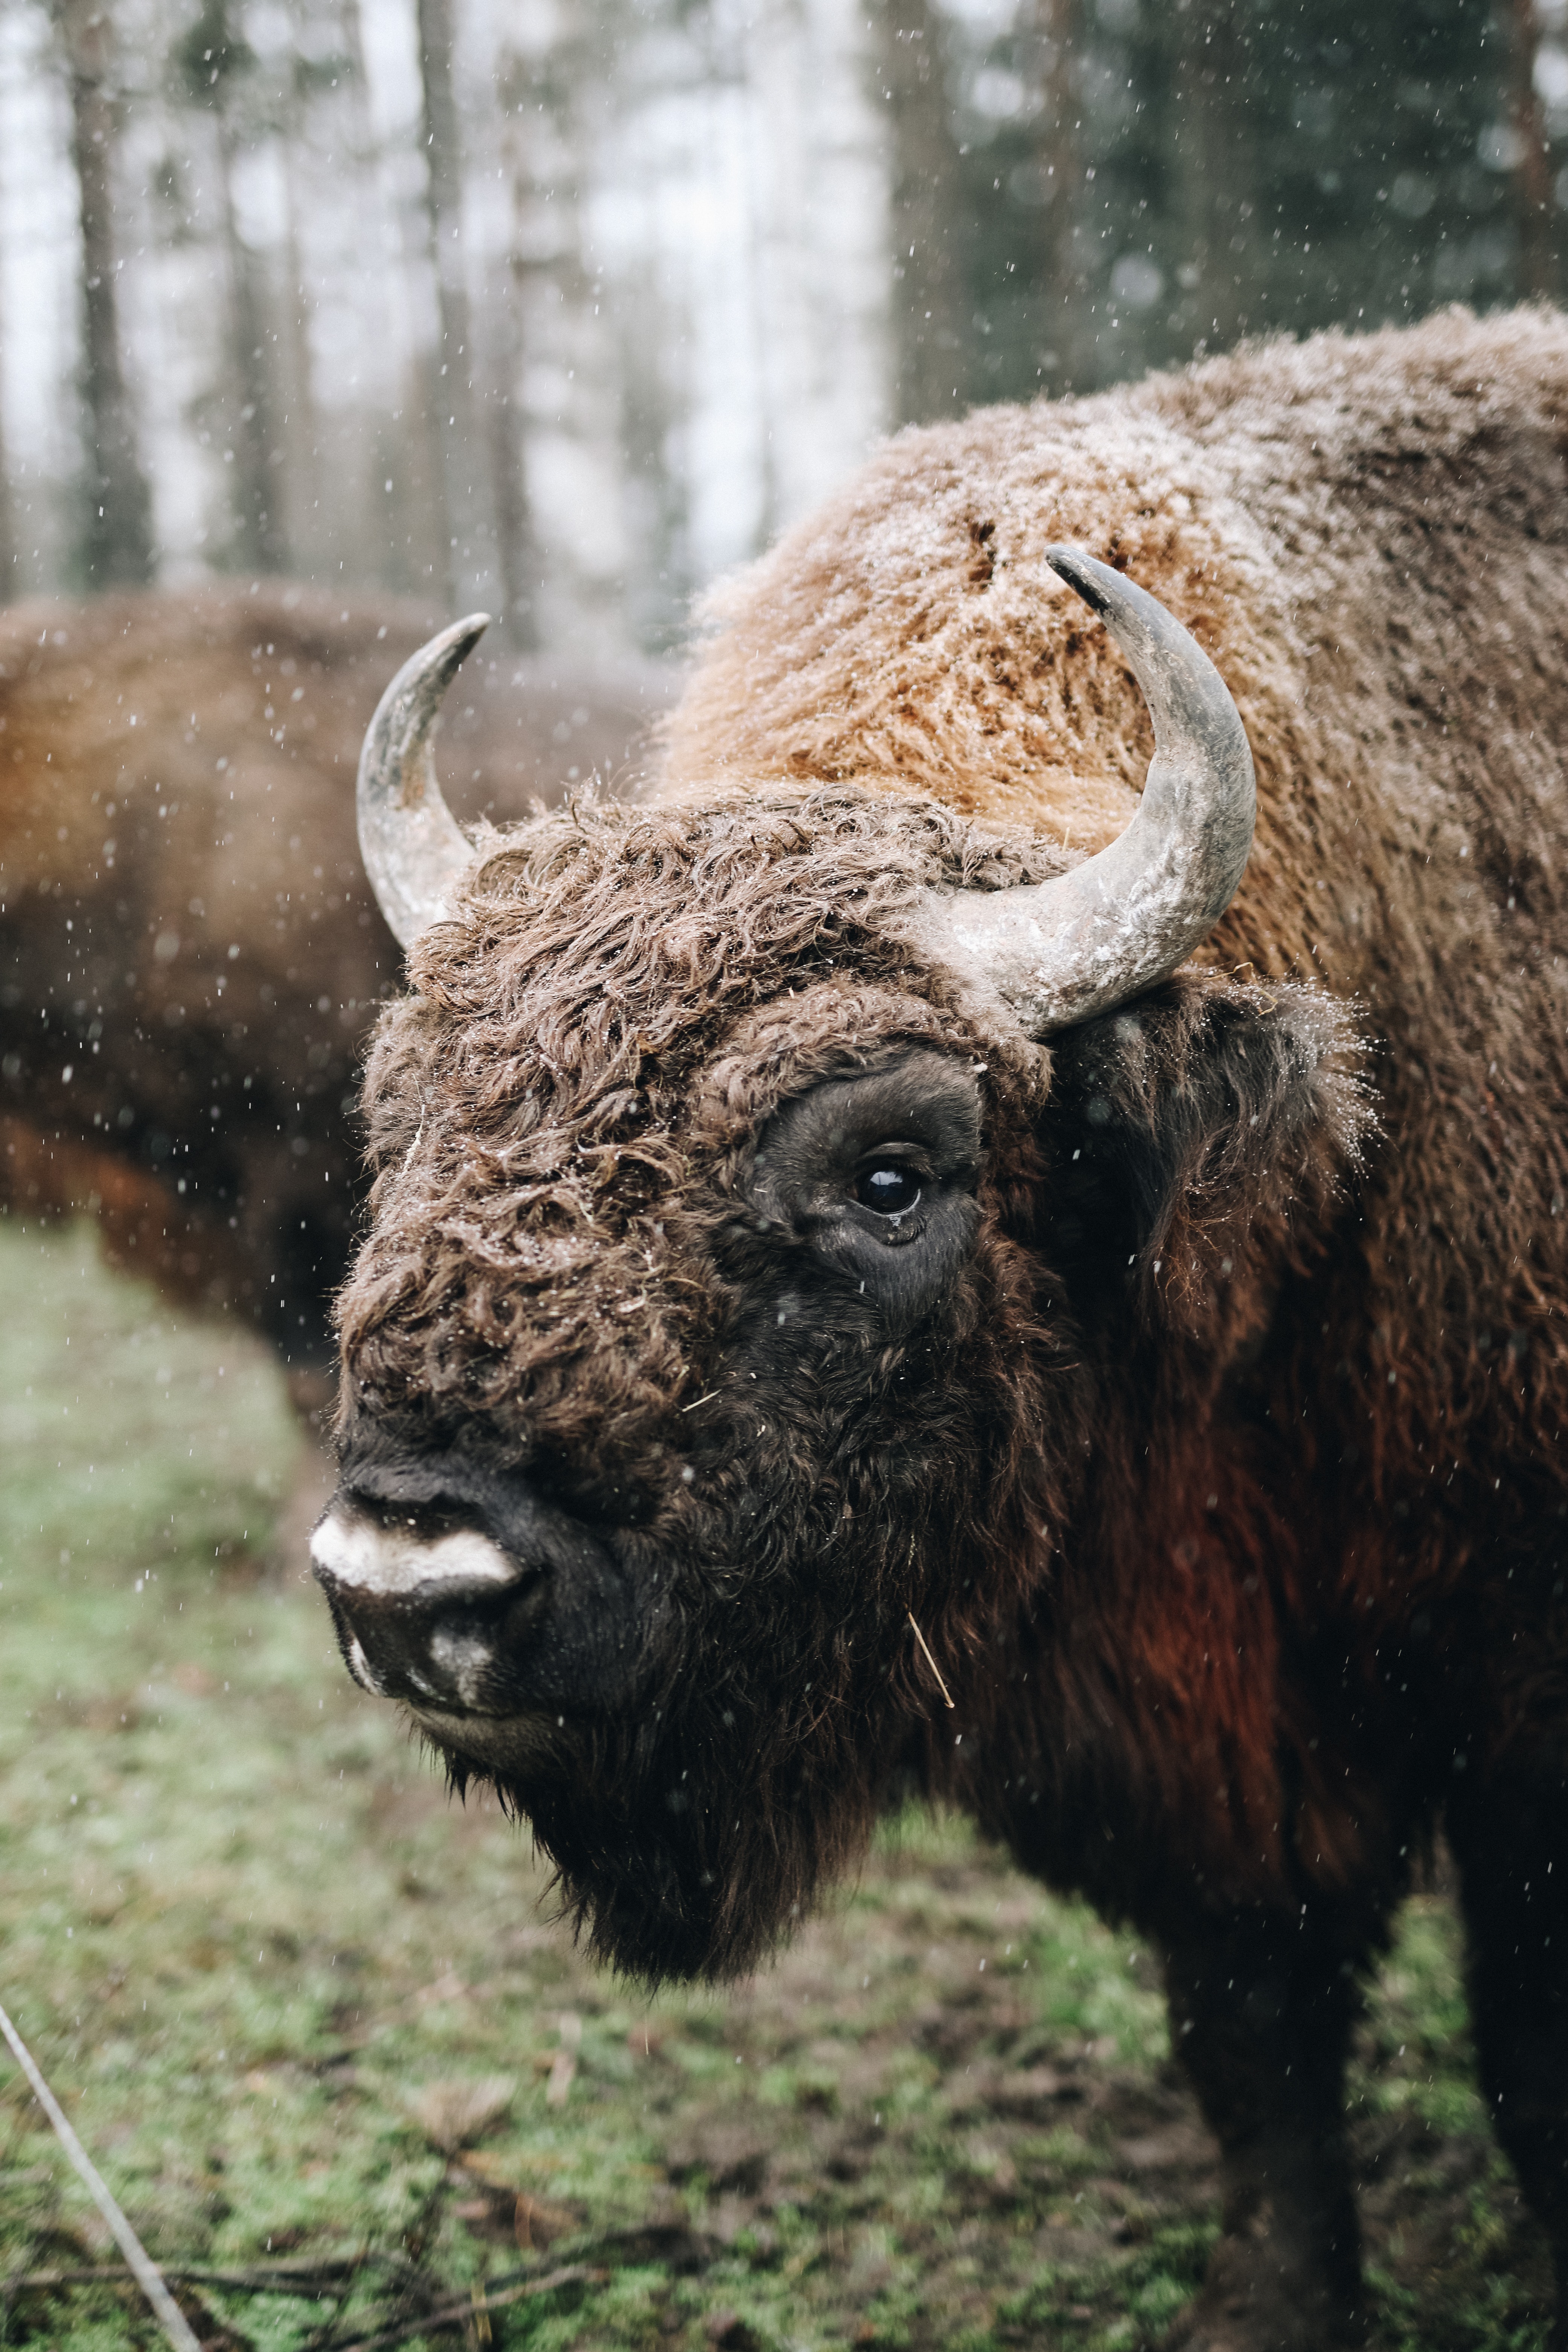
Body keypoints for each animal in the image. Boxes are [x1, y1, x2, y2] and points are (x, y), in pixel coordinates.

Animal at [310, 303, 1568, 2343]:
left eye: (892, 1170)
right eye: (404, 1120)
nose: (411, 1586)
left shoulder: (1515, 1702)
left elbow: (1521, 2042)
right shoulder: (1186, 1739)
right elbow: (1255, 2038)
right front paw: (1269, 2302)